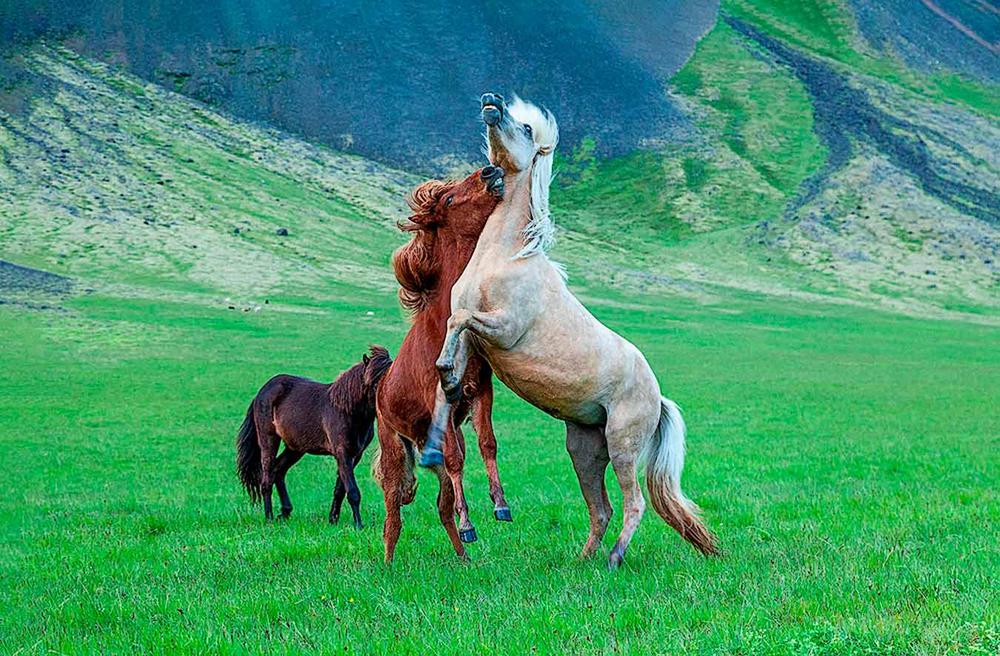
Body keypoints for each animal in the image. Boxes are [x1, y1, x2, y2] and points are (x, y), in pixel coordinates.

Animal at [235, 348, 390, 528]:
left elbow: (340, 489)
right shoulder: (342, 453)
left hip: (295, 448)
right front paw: (358, 525)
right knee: (266, 478)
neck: (347, 409)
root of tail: (262, 392)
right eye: (373, 382)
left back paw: (285, 512)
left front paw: (333, 519)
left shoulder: (354, 455)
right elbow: (352, 491)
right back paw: (269, 518)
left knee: (278, 470)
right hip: (268, 440)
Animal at [376, 167, 512, 560]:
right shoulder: (440, 398)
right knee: (393, 515)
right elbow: (455, 461)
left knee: (442, 506)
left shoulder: (479, 391)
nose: (491, 171)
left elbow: (487, 444)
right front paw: (472, 523)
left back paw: (465, 559)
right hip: (394, 452)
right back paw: (388, 565)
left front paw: (501, 506)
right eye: (449, 198)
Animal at [422, 93, 720, 568]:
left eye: (526, 129)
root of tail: (658, 398)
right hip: (583, 449)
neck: (506, 258)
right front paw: (440, 415)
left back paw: (614, 558)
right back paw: (583, 560)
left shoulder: (502, 330)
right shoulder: (476, 342)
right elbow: (445, 367)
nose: (491, 102)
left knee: (633, 503)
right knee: (601, 508)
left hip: (621, 444)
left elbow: (458, 321)